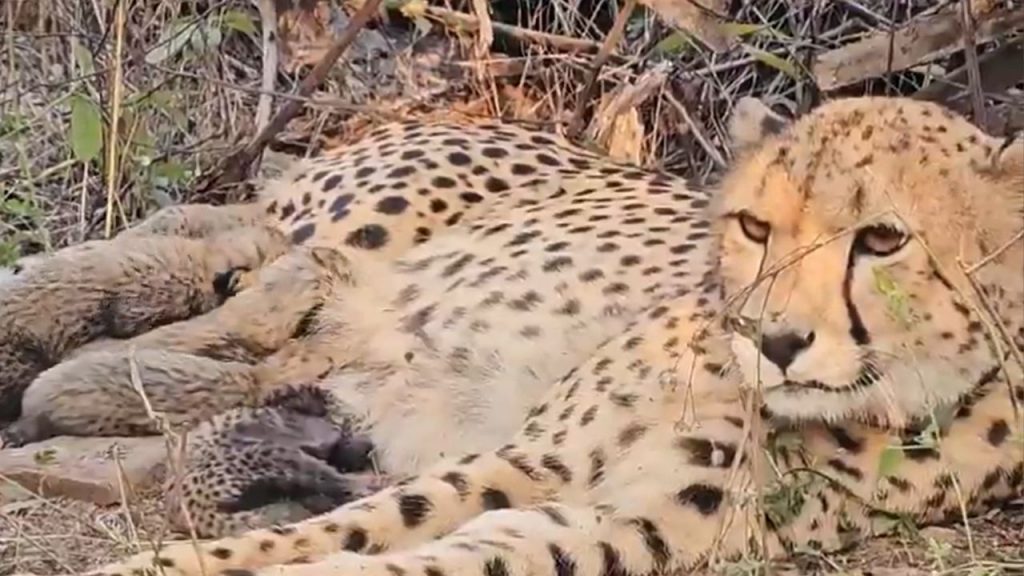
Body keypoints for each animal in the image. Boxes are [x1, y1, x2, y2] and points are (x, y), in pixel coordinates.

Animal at [58, 94, 1023, 576]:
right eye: (755, 227)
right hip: (343, 232)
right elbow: (352, 527)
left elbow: (423, 558)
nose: (773, 338)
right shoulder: (533, 459)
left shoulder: (620, 522)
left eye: (883, 240)